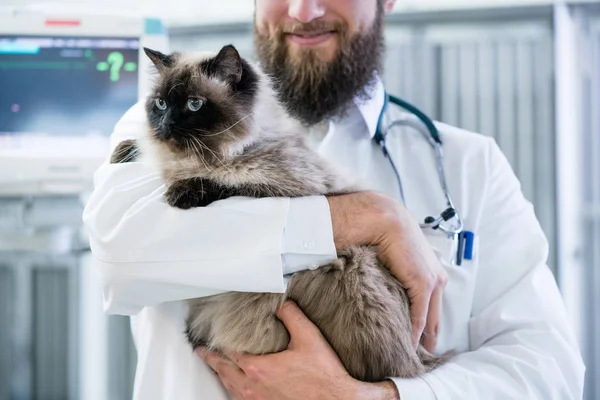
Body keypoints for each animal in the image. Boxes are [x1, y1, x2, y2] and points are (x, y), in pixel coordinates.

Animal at [112, 43, 448, 382]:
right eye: (160, 103)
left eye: (194, 105)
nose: (165, 126)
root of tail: (417, 363)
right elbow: (138, 150)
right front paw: (123, 152)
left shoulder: (284, 186)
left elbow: (229, 184)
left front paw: (181, 191)